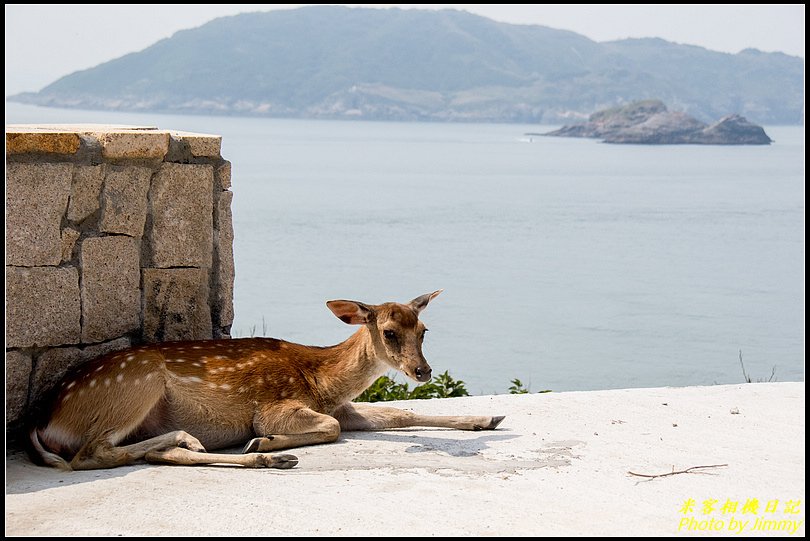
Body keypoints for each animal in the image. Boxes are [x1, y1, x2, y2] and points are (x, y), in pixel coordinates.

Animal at [31, 292, 504, 468]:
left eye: (423, 330)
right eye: (389, 331)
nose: (423, 371)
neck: (322, 381)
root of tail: (48, 422)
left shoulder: (344, 407)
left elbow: (402, 414)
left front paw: (488, 418)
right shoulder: (275, 405)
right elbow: (329, 427)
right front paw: (265, 439)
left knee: (145, 454)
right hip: (135, 384)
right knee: (90, 454)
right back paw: (238, 447)